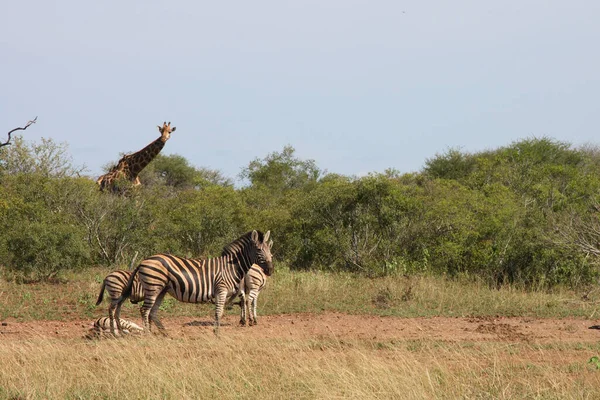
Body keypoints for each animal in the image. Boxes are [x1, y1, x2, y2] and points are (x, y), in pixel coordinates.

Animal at [115, 230, 274, 332]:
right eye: (259, 250)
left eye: (270, 252)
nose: (270, 270)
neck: (231, 266)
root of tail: (143, 261)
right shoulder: (221, 290)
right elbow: (219, 313)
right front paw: (217, 333)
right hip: (153, 287)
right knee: (145, 310)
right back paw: (148, 334)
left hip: (161, 289)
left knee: (152, 312)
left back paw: (163, 334)